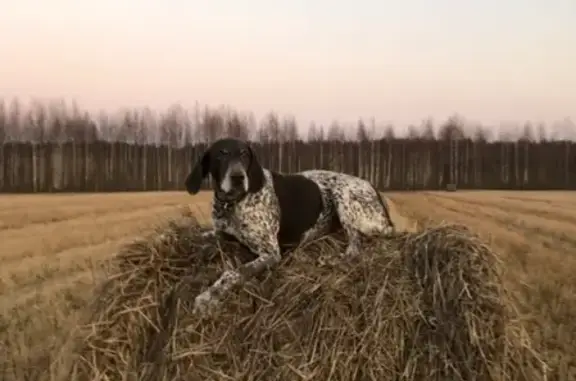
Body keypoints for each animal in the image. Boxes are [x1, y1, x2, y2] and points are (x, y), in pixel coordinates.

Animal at [184, 137, 396, 314]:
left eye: (245, 154)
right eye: (221, 154)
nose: (238, 177)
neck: (233, 203)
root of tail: (372, 186)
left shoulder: (270, 253)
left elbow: (234, 273)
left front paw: (208, 296)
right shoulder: (220, 233)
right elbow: (197, 237)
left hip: (344, 199)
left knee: (355, 246)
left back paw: (332, 260)